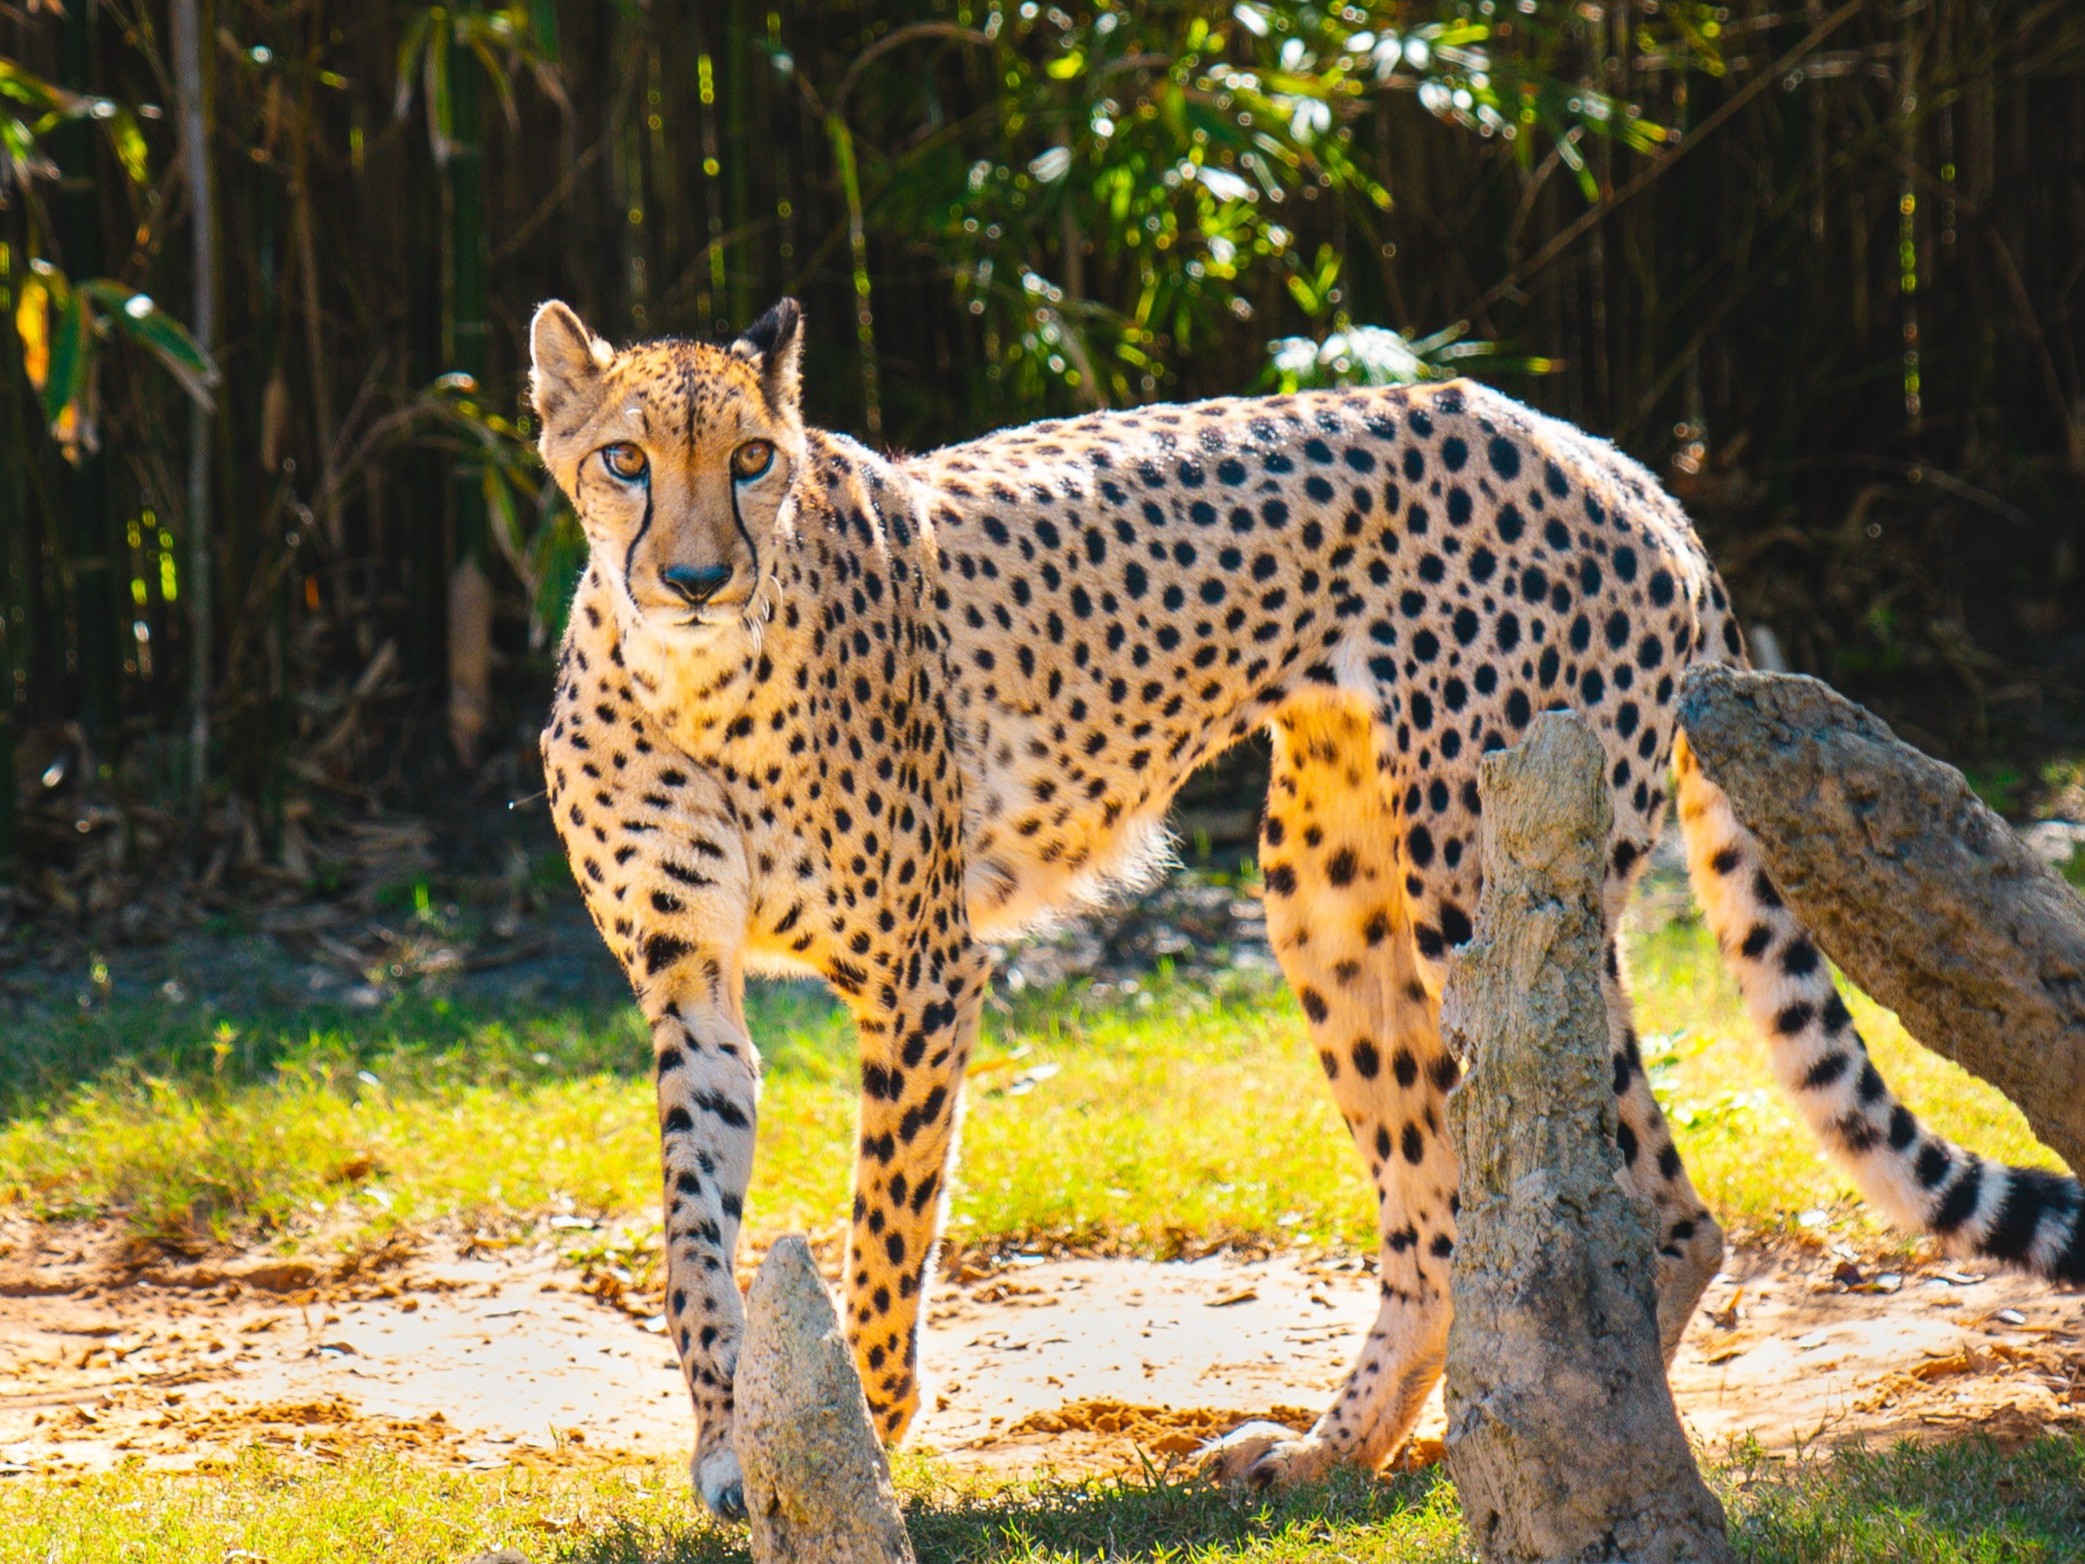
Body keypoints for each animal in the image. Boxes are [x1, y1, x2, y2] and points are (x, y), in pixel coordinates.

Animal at [529, 295, 2085, 1519]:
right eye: (625, 461)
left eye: (753, 461)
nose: (695, 574)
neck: (697, 685)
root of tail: (1617, 464)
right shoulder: (687, 984)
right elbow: (691, 1235)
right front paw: (731, 1448)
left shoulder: (923, 974)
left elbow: (888, 1224)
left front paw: (860, 1428)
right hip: (1328, 901)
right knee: (1437, 1219)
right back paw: (1339, 1453)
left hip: (1487, 881)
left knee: (1654, 1203)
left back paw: (1546, 1442)